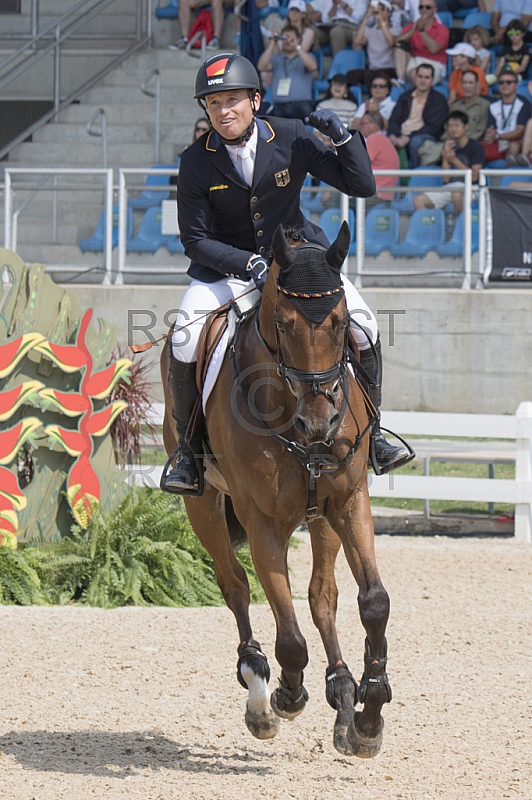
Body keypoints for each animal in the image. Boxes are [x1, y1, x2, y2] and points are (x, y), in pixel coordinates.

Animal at [161, 223, 390, 756]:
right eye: (283, 325)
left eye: (341, 323)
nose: (320, 425)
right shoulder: (261, 520)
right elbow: (289, 636)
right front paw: (286, 694)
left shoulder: (349, 502)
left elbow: (372, 602)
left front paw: (369, 712)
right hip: (205, 509)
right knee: (236, 586)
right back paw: (258, 685)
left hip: (321, 517)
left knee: (322, 596)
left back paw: (341, 688)